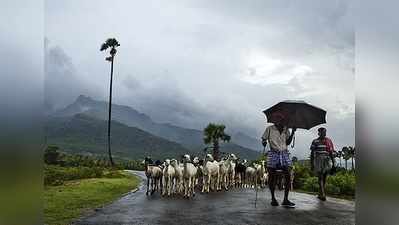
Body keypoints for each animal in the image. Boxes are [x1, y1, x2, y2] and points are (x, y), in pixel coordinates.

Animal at [142, 153, 280, 199]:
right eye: (207, 155)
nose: (236, 158)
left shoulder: (212, 174)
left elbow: (209, 183)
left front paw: (207, 190)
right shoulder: (202, 175)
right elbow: (199, 183)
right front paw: (202, 190)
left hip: (220, 174)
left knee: (221, 180)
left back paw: (219, 187)